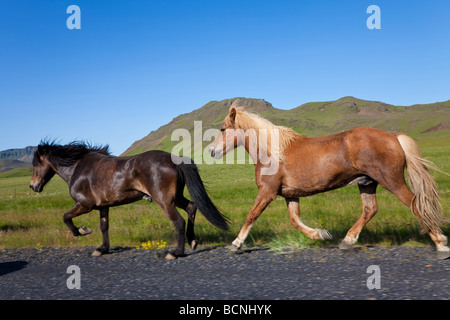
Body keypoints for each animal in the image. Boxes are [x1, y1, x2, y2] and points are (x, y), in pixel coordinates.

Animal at [30, 141, 229, 258]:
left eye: (35, 164)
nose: (33, 186)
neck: (77, 168)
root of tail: (174, 159)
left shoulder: (85, 205)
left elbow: (66, 217)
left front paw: (83, 230)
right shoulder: (103, 207)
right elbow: (104, 227)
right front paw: (102, 249)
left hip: (165, 201)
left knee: (179, 221)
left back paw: (176, 253)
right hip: (176, 197)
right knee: (191, 207)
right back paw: (192, 241)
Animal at [209, 106, 448, 258]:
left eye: (222, 129)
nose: (211, 151)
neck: (272, 152)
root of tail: (394, 137)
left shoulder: (267, 192)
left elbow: (252, 215)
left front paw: (236, 243)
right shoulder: (290, 194)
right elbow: (295, 220)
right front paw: (321, 234)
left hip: (392, 181)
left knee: (416, 205)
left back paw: (440, 243)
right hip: (367, 183)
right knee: (370, 209)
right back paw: (347, 240)